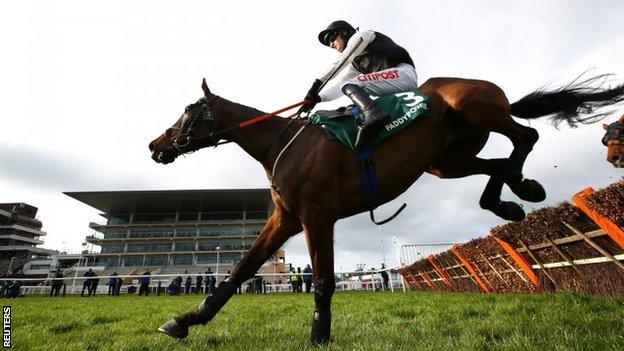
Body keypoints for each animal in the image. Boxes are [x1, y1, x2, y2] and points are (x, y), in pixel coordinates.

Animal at [151, 75, 624, 346]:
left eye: (188, 112)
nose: (156, 145)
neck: (283, 143)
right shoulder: (285, 218)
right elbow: (241, 270)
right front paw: (185, 320)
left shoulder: (316, 216)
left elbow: (323, 281)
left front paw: (319, 337)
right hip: (447, 161)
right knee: (496, 163)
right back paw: (511, 194)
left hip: (478, 111)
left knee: (525, 135)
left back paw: (517, 187)